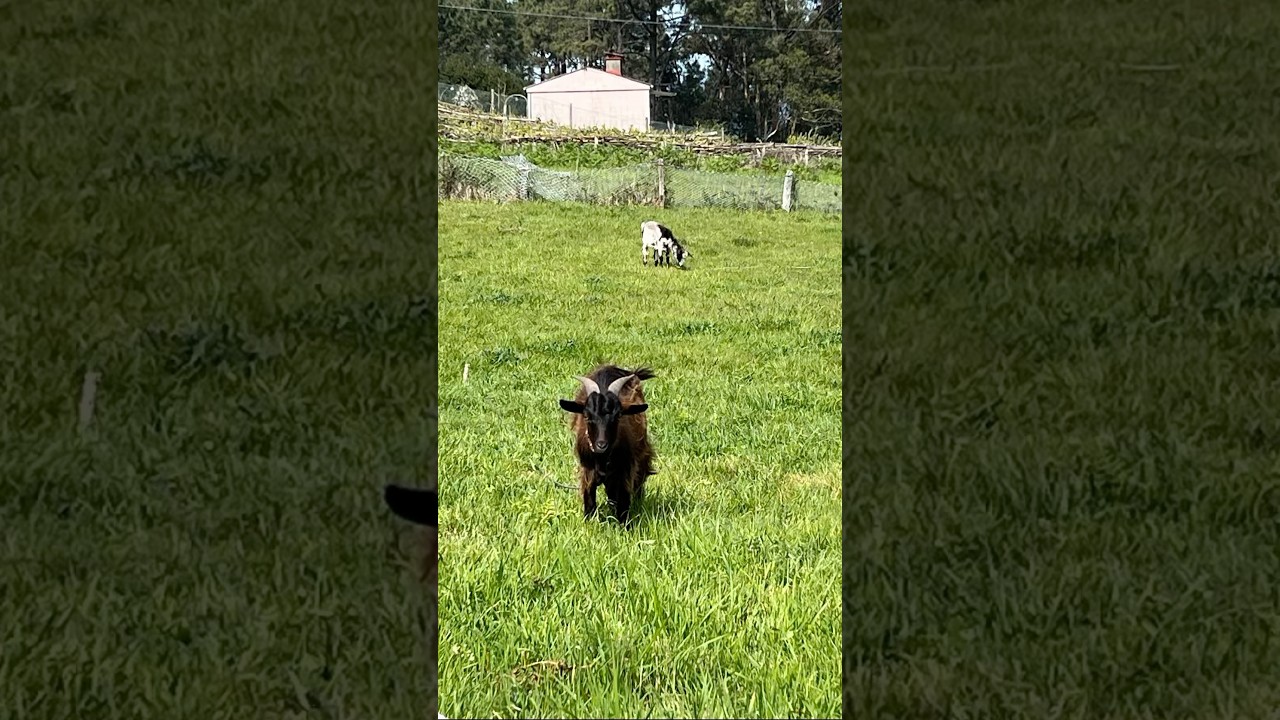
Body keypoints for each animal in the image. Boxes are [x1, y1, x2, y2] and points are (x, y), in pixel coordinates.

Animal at [558, 365, 656, 525]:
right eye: (587, 416)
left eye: (618, 416)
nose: (601, 445)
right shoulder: (587, 470)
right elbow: (589, 500)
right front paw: (589, 523)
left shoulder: (624, 470)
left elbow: (623, 501)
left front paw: (624, 526)